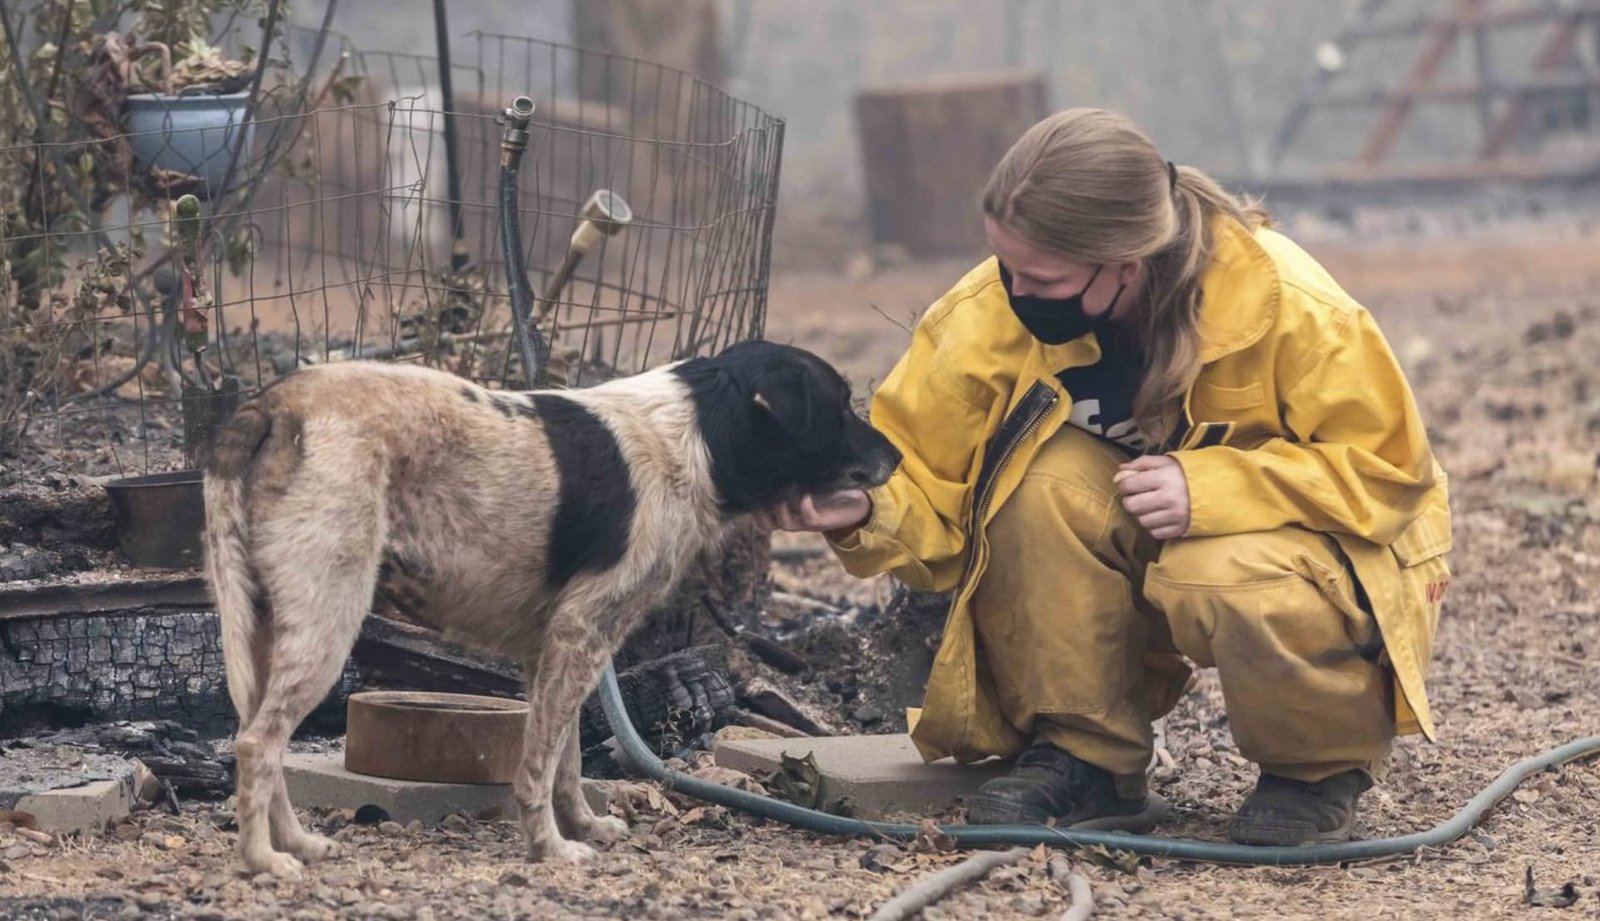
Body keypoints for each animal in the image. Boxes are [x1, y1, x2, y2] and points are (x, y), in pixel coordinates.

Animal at [201, 342, 902, 876]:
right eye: (839, 404)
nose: (898, 457)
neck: (698, 437)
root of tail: (276, 403)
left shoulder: (556, 650)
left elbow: (565, 755)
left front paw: (582, 826)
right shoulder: (582, 634)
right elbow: (538, 763)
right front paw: (550, 849)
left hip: (268, 627)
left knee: (261, 741)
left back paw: (295, 842)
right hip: (328, 622)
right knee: (257, 744)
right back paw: (263, 860)